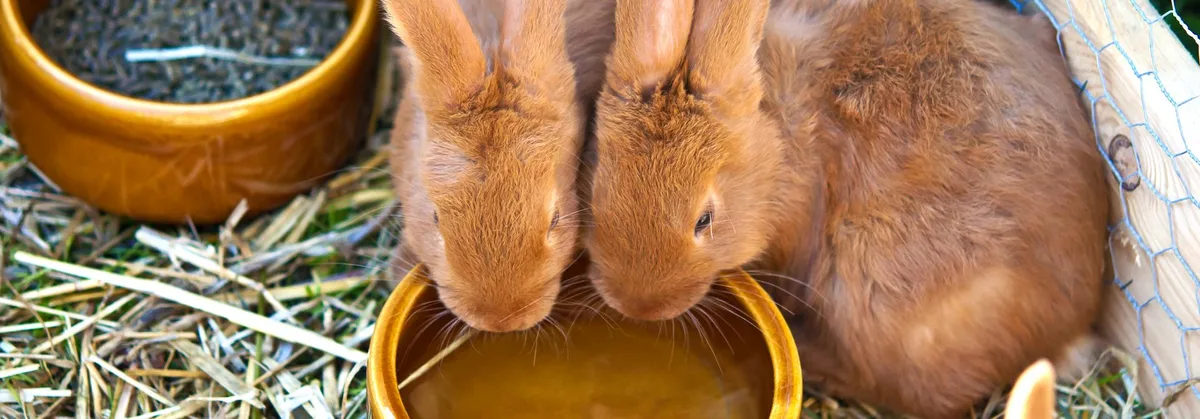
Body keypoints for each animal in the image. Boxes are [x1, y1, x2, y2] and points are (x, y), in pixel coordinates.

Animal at [584, 0, 1110, 417]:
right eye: (596, 186)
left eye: (705, 219)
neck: (778, 142)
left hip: (875, 296)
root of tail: (1070, 327)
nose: (636, 305)